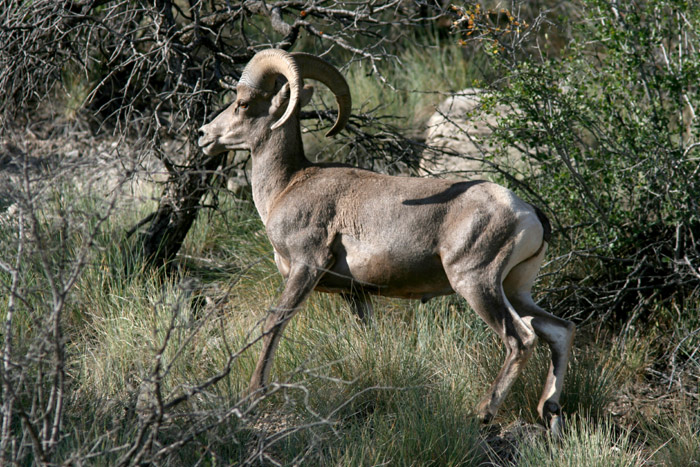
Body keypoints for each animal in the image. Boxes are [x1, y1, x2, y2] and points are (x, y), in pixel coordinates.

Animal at [197, 49, 576, 434]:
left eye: (243, 104)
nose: (203, 135)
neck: (286, 186)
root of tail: (528, 213)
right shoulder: (356, 294)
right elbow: (367, 338)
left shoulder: (306, 266)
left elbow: (275, 322)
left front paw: (254, 393)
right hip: (516, 289)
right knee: (559, 331)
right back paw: (550, 411)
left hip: (476, 284)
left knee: (521, 339)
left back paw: (483, 412)